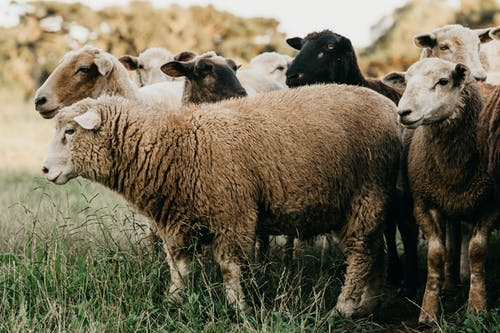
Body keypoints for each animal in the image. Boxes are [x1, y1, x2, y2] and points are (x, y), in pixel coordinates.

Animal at [42, 83, 402, 316]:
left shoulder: (232, 214)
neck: (175, 146)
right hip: (362, 202)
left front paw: (236, 307)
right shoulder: (175, 218)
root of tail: (390, 108)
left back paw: (344, 307)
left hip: (366, 193)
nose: (45, 169)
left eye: (70, 131)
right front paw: (174, 301)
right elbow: (178, 266)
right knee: (376, 251)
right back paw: (368, 303)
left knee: (362, 252)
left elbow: (229, 267)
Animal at [382, 58, 496, 322]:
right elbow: (436, 254)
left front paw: (477, 306)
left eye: (443, 81)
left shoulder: (490, 204)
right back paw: (449, 283)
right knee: (451, 241)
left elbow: (477, 251)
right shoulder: (424, 204)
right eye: (406, 81)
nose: (403, 113)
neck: (453, 168)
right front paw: (428, 310)